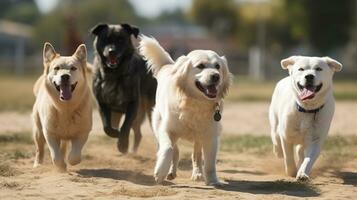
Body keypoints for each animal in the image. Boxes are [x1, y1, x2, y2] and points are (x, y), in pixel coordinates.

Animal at [32, 42, 92, 172]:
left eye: (73, 68)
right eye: (57, 68)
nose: (65, 76)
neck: (66, 108)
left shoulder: (83, 132)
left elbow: (75, 155)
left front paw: (69, 161)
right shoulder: (49, 133)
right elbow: (55, 156)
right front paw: (60, 166)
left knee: (63, 148)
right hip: (38, 130)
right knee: (40, 149)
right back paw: (38, 164)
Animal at [90, 24, 156, 154]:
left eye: (121, 40)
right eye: (105, 39)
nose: (112, 51)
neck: (114, 74)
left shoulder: (132, 104)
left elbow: (125, 126)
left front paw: (123, 145)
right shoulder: (102, 103)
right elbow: (107, 126)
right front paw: (115, 134)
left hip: (150, 110)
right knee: (137, 133)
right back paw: (133, 151)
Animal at [139, 35, 231, 185]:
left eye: (217, 66)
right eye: (200, 66)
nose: (216, 76)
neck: (196, 103)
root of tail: (168, 65)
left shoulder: (211, 135)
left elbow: (210, 163)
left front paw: (213, 181)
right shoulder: (166, 129)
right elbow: (168, 149)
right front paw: (160, 171)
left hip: (199, 136)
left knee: (196, 155)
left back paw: (197, 173)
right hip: (158, 124)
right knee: (174, 150)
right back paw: (170, 172)